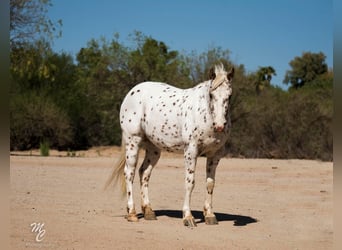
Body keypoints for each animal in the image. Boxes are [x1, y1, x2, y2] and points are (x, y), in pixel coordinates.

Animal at [107, 63, 235, 227]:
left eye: (229, 96)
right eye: (211, 95)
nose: (219, 125)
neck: (204, 113)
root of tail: (131, 93)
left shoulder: (215, 155)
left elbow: (210, 184)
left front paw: (210, 215)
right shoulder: (191, 151)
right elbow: (190, 182)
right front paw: (188, 217)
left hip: (153, 149)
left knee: (144, 173)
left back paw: (149, 211)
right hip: (132, 142)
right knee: (129, 173)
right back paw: (132, 213)